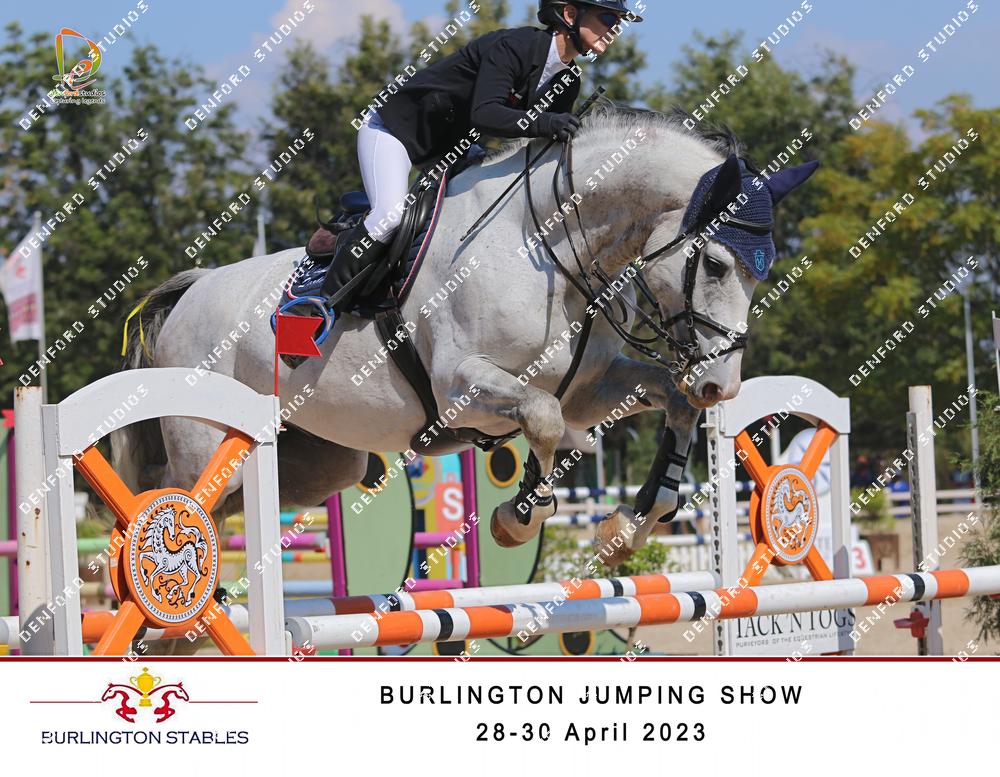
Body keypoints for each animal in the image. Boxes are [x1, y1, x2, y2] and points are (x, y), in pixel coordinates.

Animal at [113, 106, 817, 569]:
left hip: (315, 464)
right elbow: (542, 417)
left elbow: (656, 400)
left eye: (764, 272)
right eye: (718, 265)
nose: (720, 386)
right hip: (207, 446)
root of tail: (190, 291)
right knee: (174, 502)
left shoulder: (591, 387)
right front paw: (520, 515)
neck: (548, 244)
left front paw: (628, 523)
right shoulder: (461, 386)